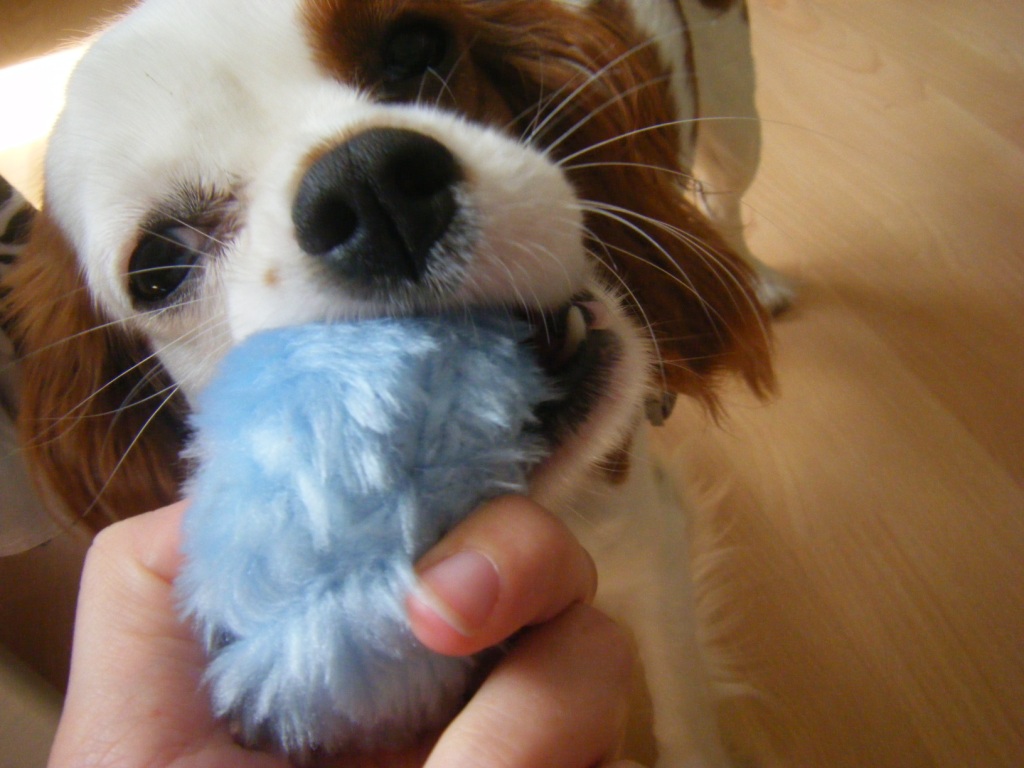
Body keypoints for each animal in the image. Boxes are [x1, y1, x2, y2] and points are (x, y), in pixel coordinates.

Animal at [2, 0, 777, 764]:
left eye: (414, 45)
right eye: (159, 266)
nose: (369, 185)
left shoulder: (652, 541)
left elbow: (683, 712)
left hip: (737, 114)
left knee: (732, 194)